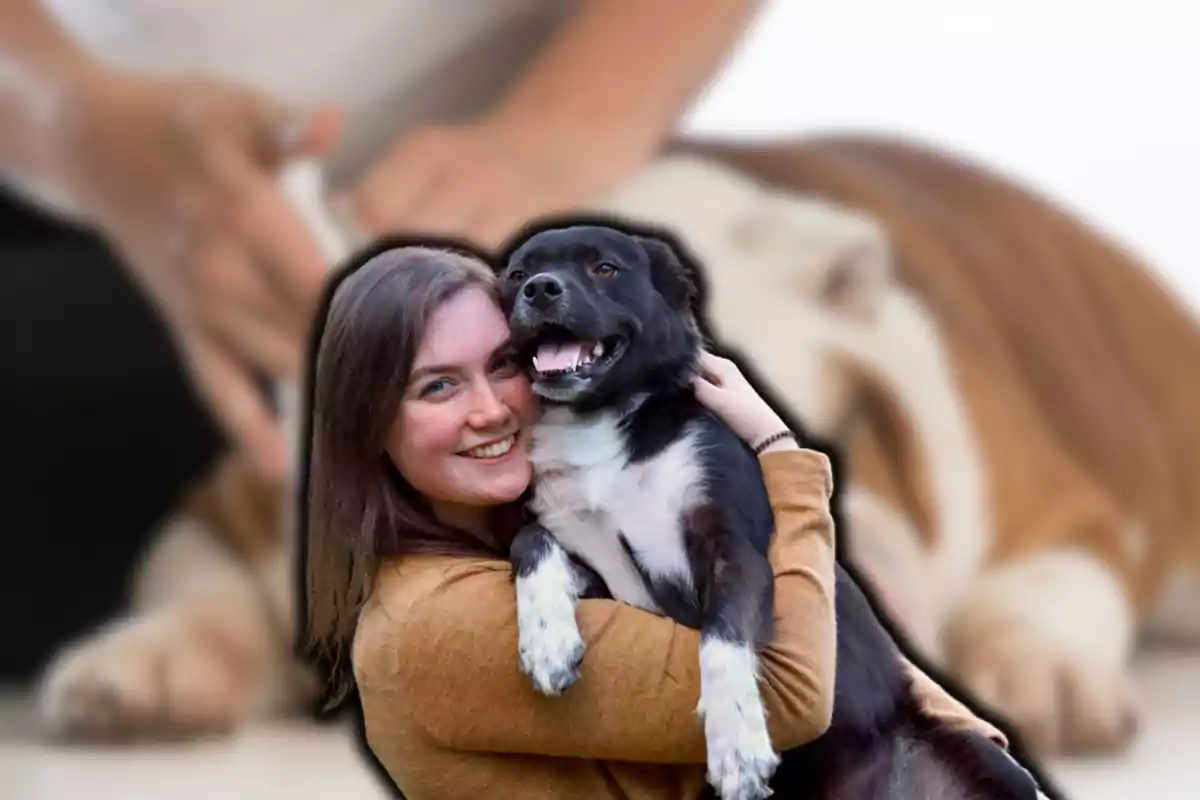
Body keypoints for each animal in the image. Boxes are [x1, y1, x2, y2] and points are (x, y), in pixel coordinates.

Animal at [492, 220, 1046, 800]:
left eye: (604, 267)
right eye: (518, 274)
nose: (540, 289)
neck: (596, 423)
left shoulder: (733, 548)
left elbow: (722, 637)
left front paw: (736, 742)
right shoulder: (609, 579)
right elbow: (533, 541)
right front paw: (547, 640)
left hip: (986, 761)